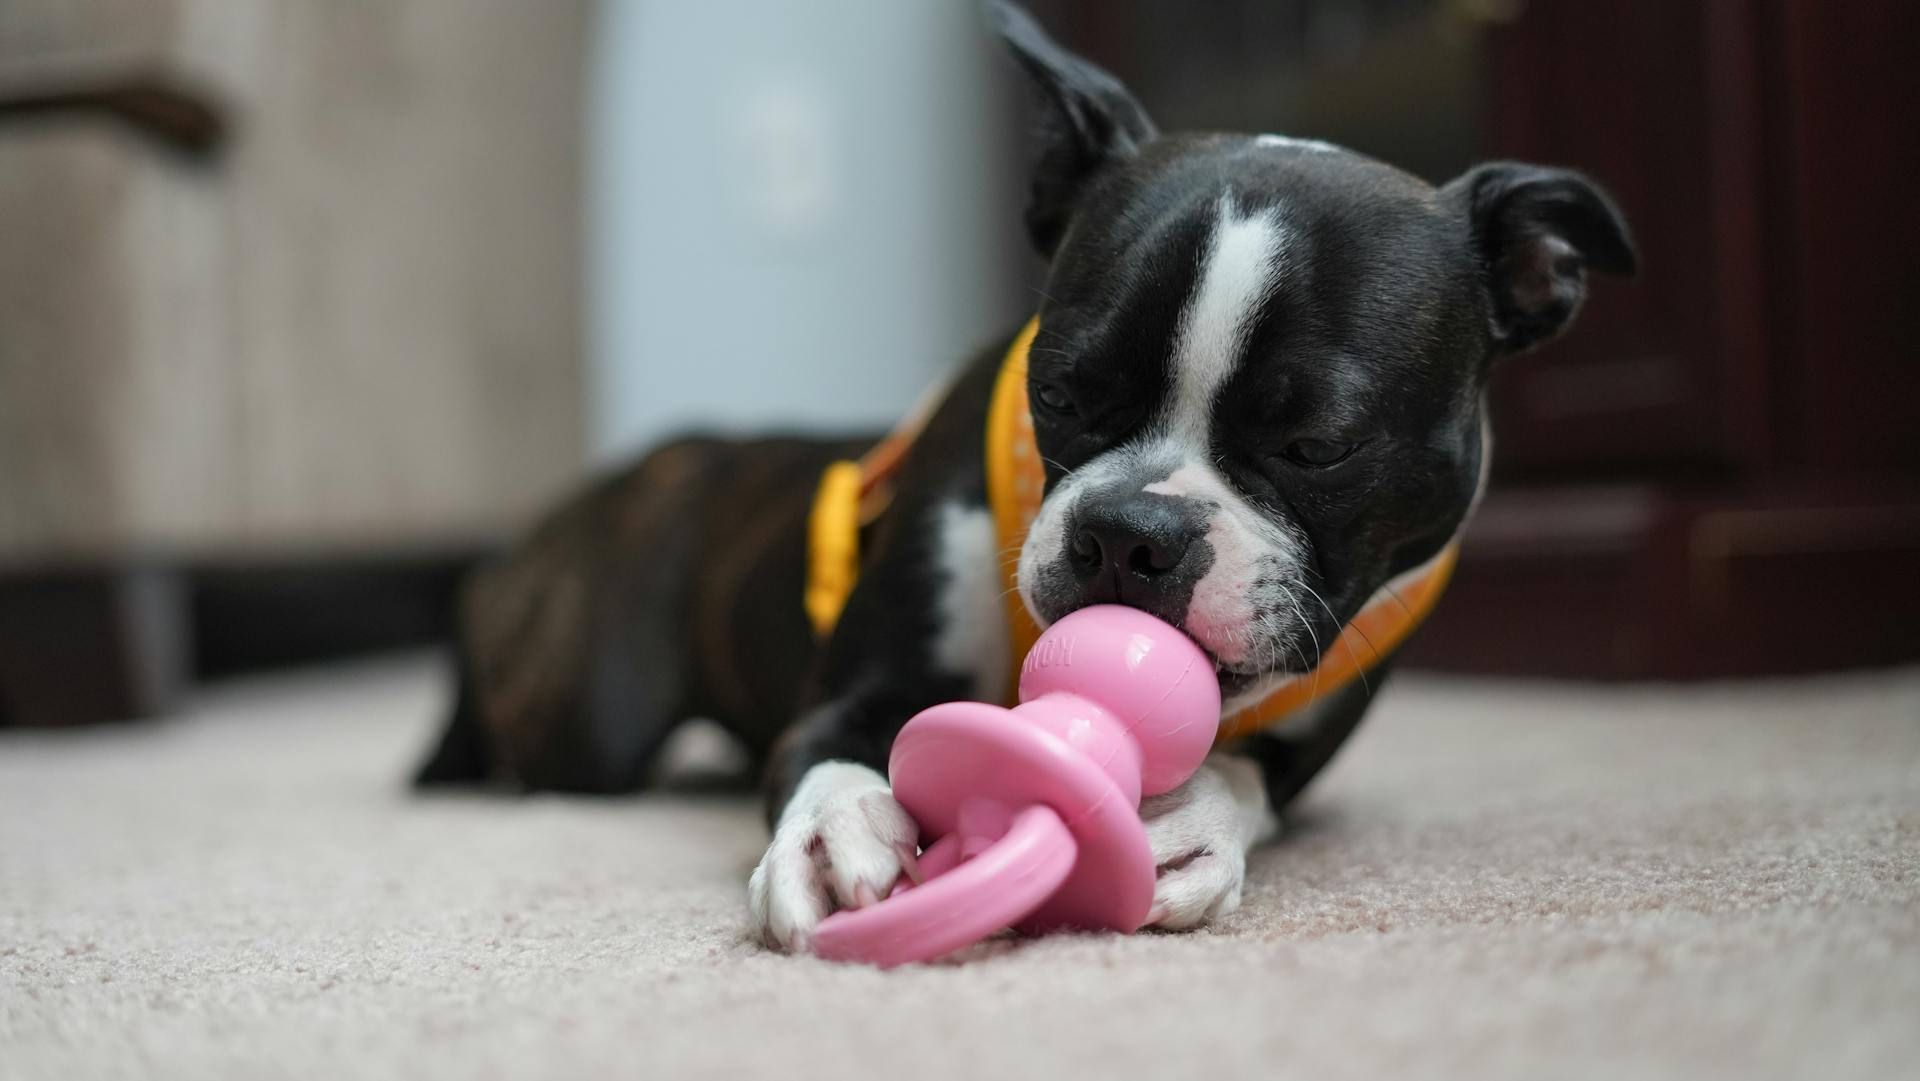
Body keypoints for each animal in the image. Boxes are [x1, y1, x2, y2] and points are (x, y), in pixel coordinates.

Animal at [416, 6, 1635, 956]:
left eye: (1318, 446)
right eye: (1060, 391)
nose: (1131, 532)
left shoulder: (1305, 735)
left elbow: (1245, 777)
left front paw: (1192, 818)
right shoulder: (851, 697)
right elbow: (827, 756)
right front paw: (831, 835)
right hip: (588, 713)